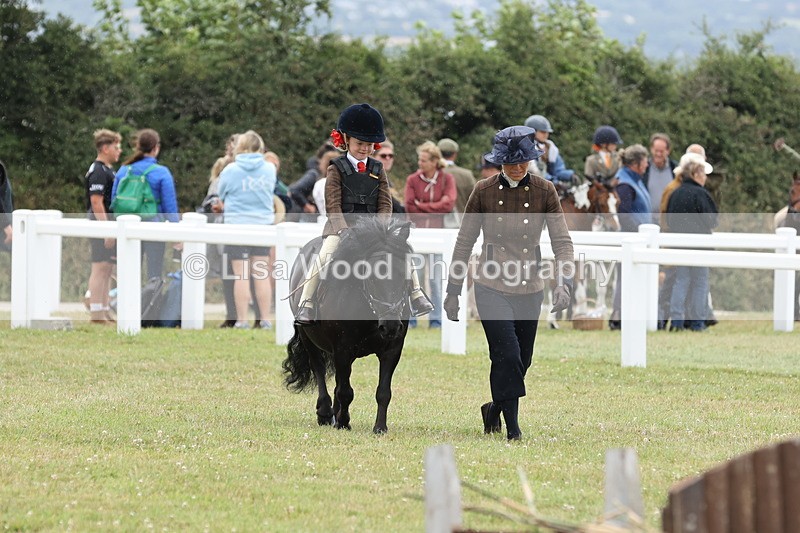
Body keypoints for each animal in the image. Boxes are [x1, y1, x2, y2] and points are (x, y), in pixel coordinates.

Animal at [282, 217, 413, 434]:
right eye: (373, 277)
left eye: (405, 276)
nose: (391, 326)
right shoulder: (343, 348)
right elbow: (345, 391)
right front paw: (343, 422)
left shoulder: (392, 349)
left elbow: (383, 391)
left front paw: (380, 427)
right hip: (309, 338)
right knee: (319, 369)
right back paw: (326, 413)